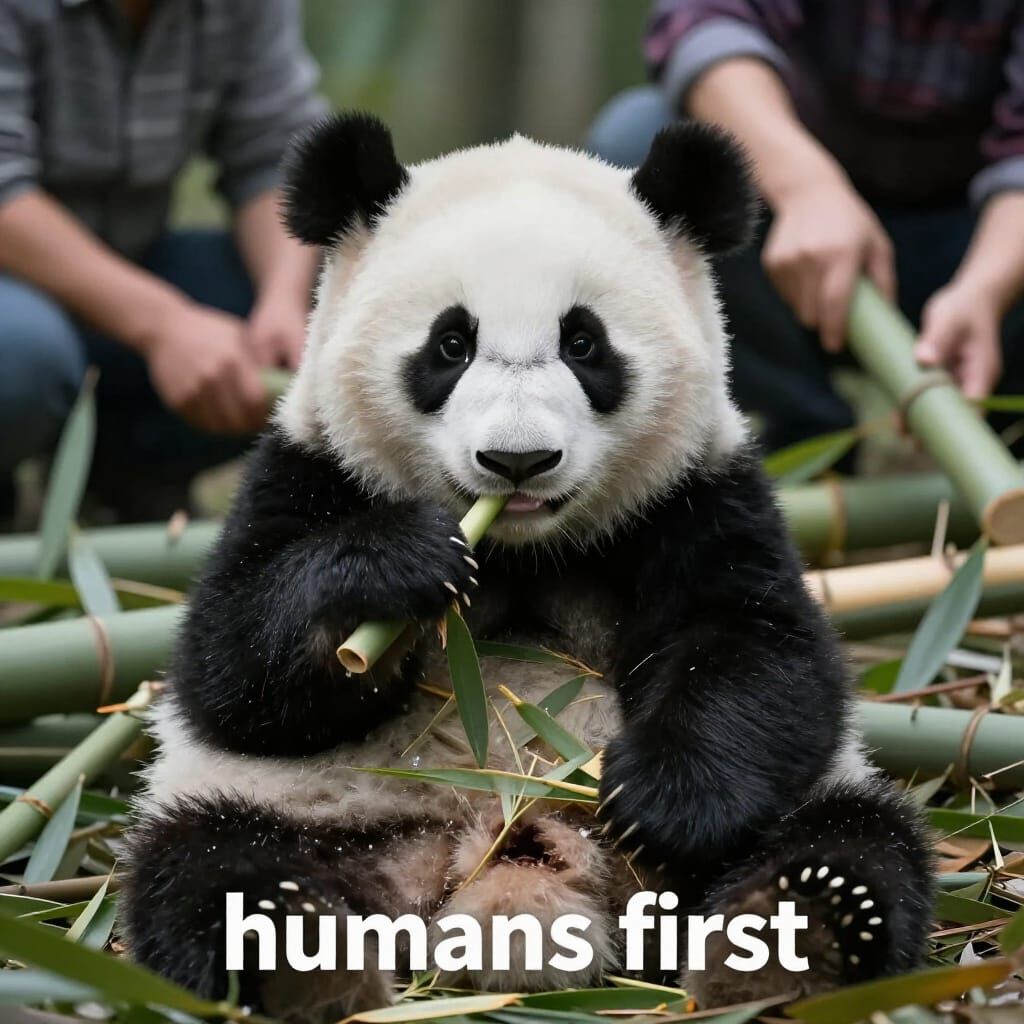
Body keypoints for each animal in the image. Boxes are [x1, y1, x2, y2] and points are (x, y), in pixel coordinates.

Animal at [121, 113, 933, 1020]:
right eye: (450, 344)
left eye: (583, 343)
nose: (517, 460)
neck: (521, 550)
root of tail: (502, 861)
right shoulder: (309, 469)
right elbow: (230, 669)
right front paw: (396, 564)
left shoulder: (700, 495)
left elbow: (764, 651)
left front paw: (662, 797)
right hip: (301, 811)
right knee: (206, 867)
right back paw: (298, 951)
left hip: (774, 823)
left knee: (850, 840)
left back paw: (789, 942)